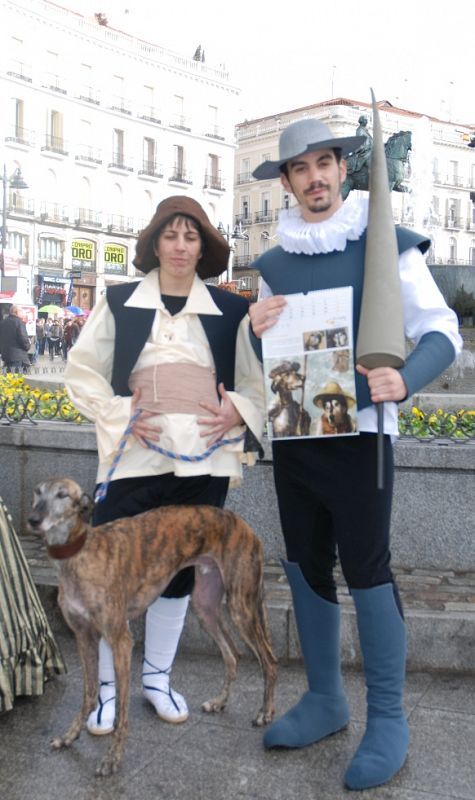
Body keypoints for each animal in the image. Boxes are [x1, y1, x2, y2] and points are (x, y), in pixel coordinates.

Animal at [27, 478, 278, 780]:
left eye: (62, 495)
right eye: (38, 493)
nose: (33, 520)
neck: (80, 554)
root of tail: (245, 526)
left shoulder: (120, 639)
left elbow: (122, 711)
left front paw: (112, 759)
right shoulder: (84, 636)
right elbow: (89, 693)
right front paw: (69, 736)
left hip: (242, 607)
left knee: (269, 660)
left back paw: (266, 713)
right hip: (205, 605)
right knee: (233, 654)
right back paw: (219, 702)